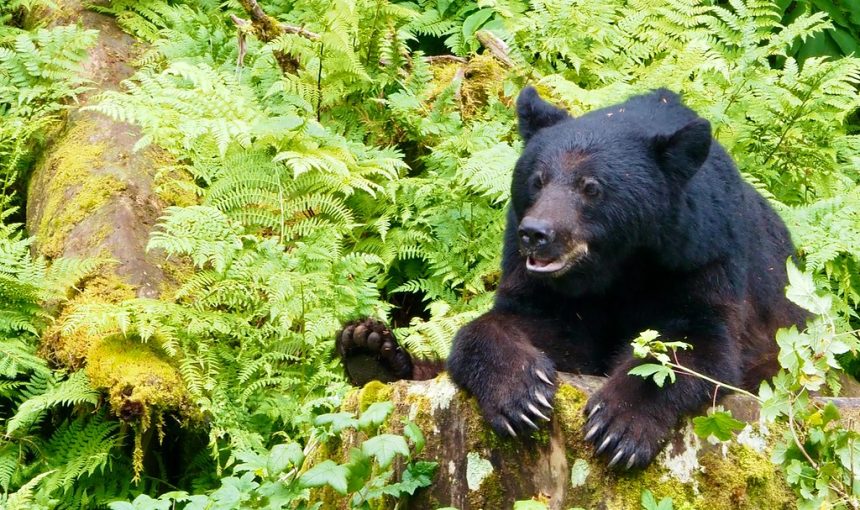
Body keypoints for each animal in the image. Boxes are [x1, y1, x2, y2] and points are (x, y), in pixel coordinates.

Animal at [337, 86, 805, 470]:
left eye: (591, 187)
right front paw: (521, 395)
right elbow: (531, 328)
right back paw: (369, 348)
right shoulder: (546, 286)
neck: (618, 265)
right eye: (537, 179)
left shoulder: (701, 257)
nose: (536, 233)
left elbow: (698, 345)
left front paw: (619, 426)